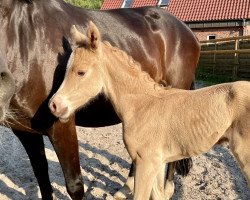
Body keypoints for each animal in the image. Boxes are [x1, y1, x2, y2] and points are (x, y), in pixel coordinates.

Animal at [49, 21, 250, 198]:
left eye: (81, 72)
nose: (54, 105)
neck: (142, 105)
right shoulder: (157, 163)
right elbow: (157, 195)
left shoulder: (146, 163)